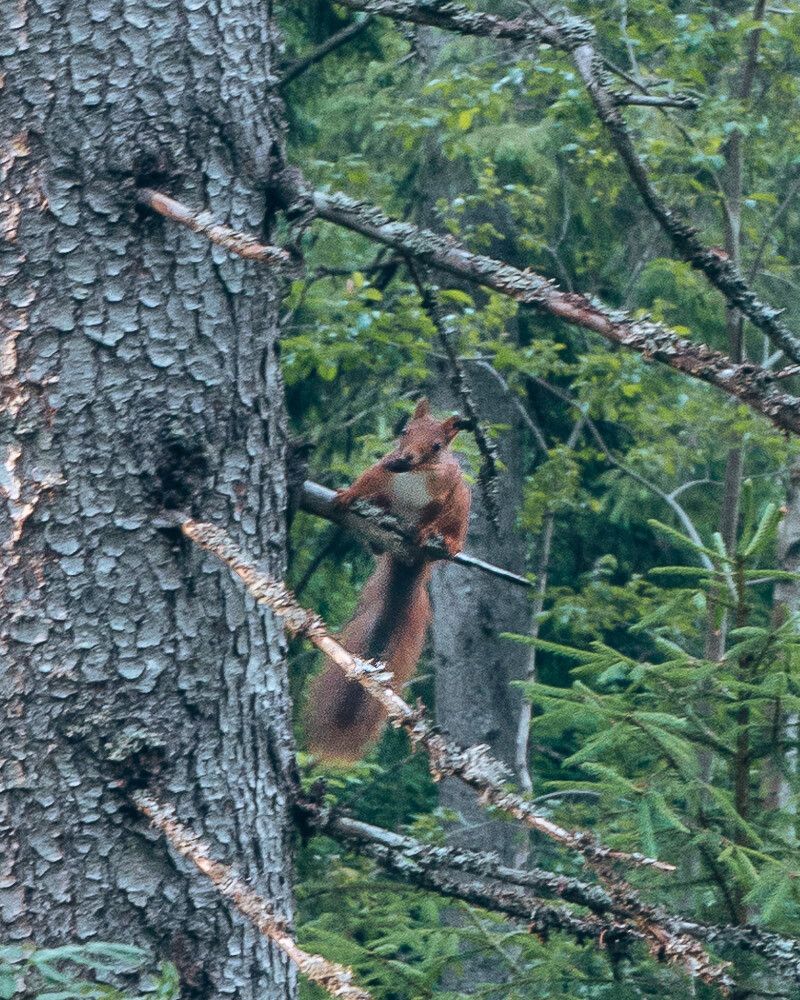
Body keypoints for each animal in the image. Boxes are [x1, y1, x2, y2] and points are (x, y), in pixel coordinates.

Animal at [307, 399, 471, 762]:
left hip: (463, 502)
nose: (405, 458)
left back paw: (448, 543)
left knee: (455, 525)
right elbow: (367, 480)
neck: (415, 474)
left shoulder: (446, 491)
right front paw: (346, 495)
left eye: (437, 446)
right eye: (405, 430)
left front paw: (424, 531)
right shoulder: (383, 470)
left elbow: (434, 516)